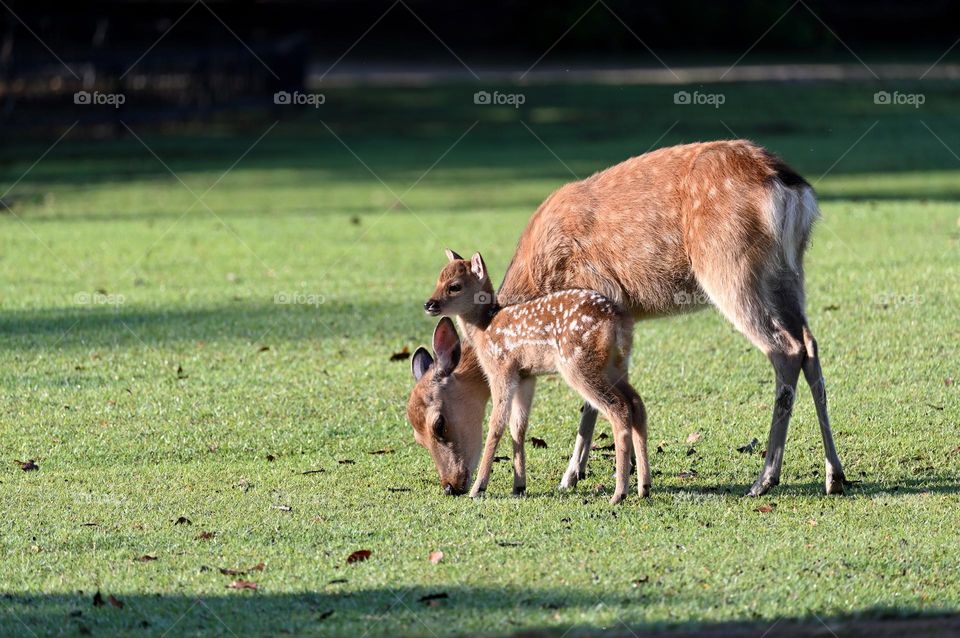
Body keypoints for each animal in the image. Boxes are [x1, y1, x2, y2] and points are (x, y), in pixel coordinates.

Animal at [422, 251, 649, 503]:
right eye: (438, 280)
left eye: (454, 286)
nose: (429, 304)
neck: (484, 328)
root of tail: (618, 320)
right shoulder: (526, 376)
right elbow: (518, 426)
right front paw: (519, 486)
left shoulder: (501, 369)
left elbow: (496, 425)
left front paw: (478, 488)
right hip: (615, 365)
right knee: (637, 404)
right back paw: (644, 487)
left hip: (579, 364)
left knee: (618, 409)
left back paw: (619, 493)